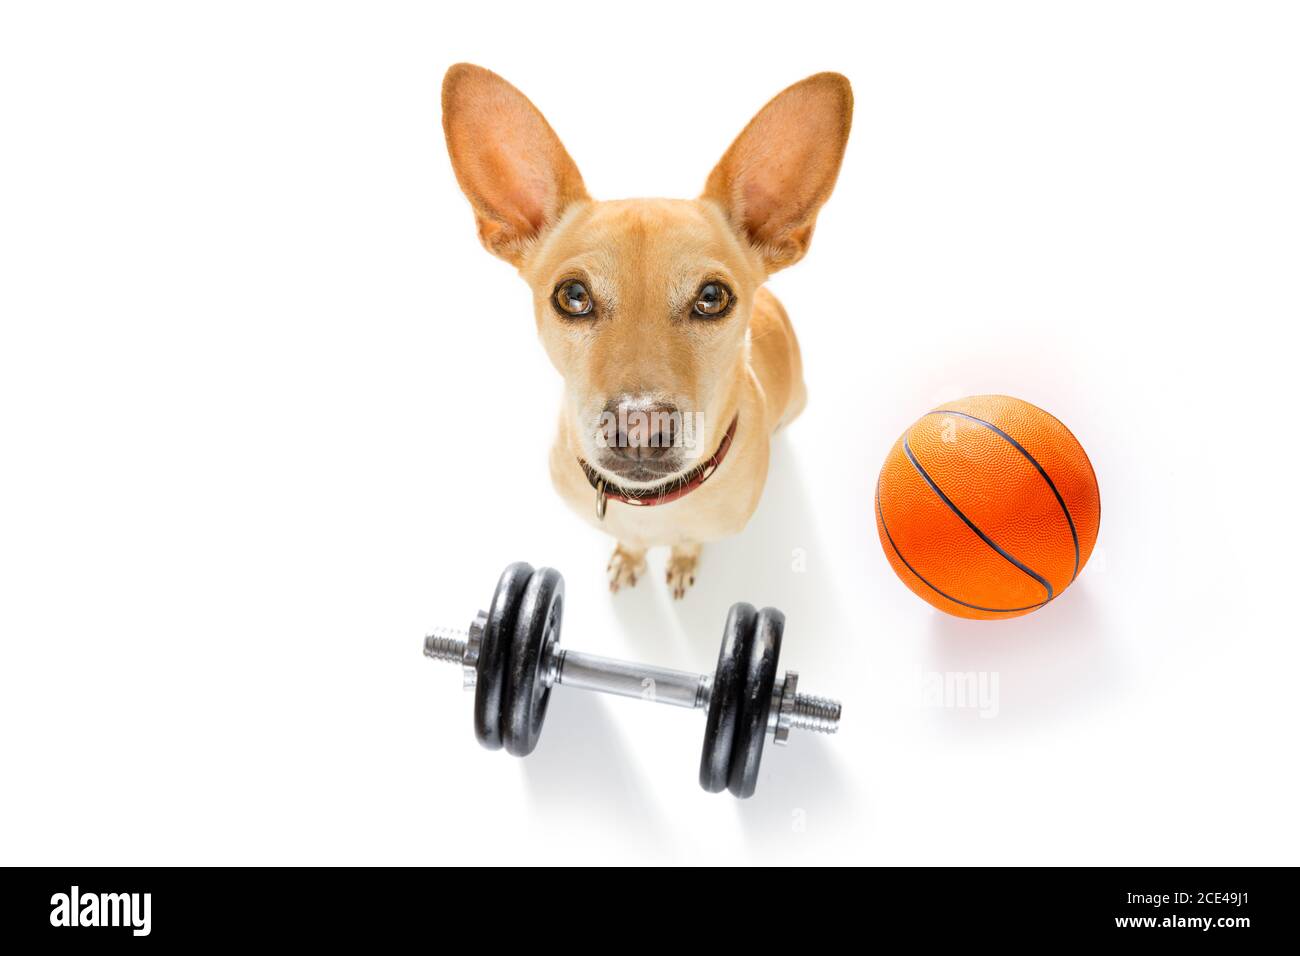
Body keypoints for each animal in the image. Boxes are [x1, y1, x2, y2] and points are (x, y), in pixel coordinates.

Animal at [444, 61, 852, 598]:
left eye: (712, 297)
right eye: (573, 296)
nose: (639, 426)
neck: (651, 506)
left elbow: (690, 541)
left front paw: (681, 560)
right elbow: (632, 543)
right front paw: (630, 557)